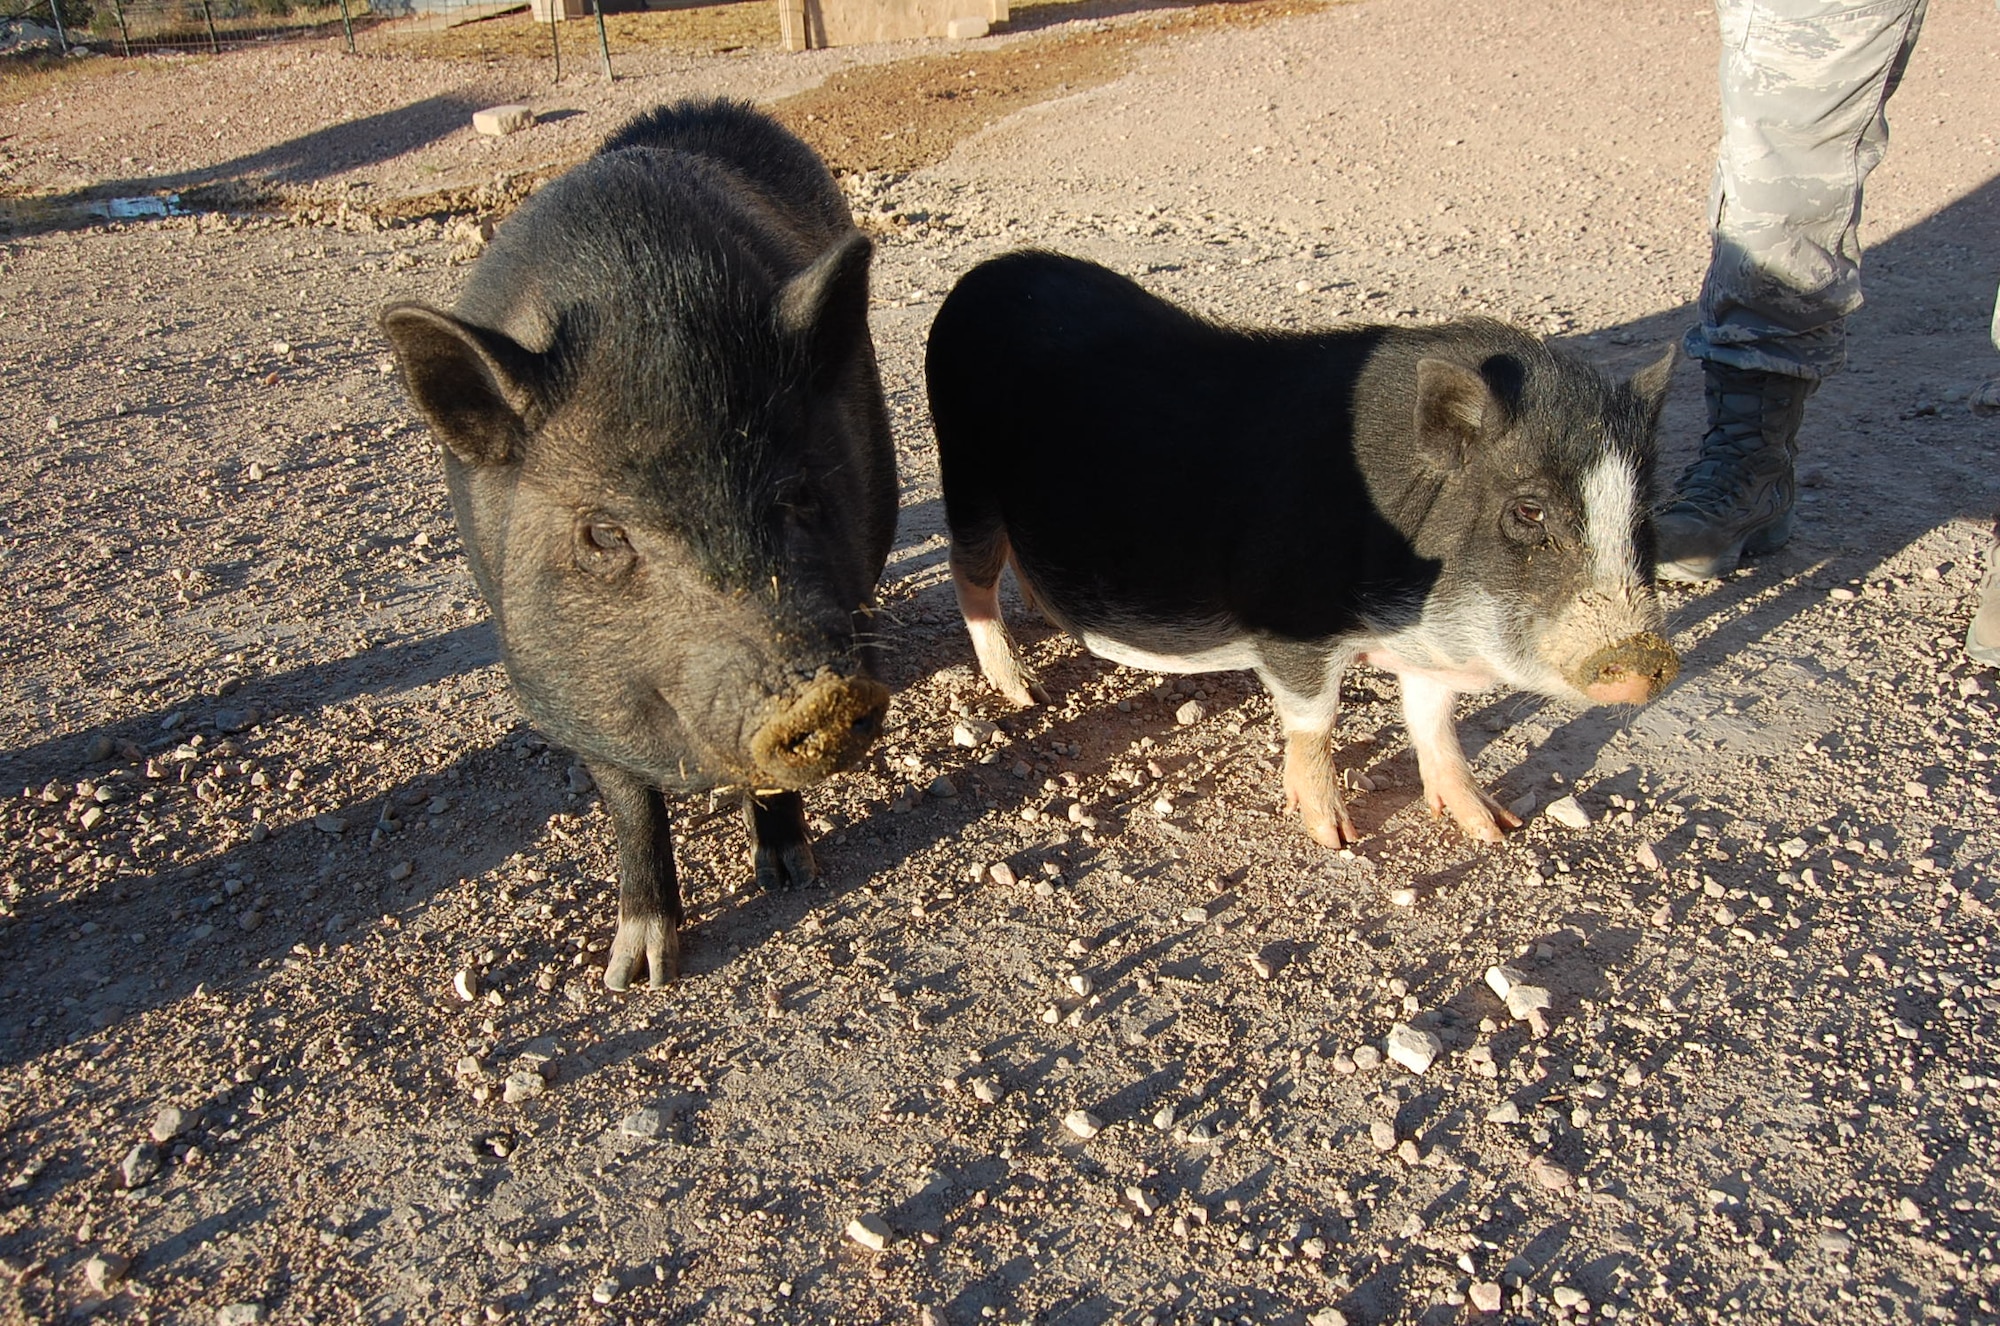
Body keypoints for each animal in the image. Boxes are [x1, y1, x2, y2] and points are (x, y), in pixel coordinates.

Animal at [382, 101, 900, 984]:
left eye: (800, 493)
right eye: (602, 533)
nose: (821, 695)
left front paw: (792, 875)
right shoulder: (567, 684)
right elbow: (629, 806)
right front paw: (639, 973)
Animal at [928, 250, 1680, 852]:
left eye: (1643, 514)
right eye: (1528, 509)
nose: (1647, 661)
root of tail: (983, 276)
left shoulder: (1428, 651)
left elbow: (1434, 722)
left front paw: (1493, 829)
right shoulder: (1291, 625)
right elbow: (1316, 721)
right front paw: (1336, 838)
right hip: (965, 477)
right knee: (972, 576)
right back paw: (1026, 690)